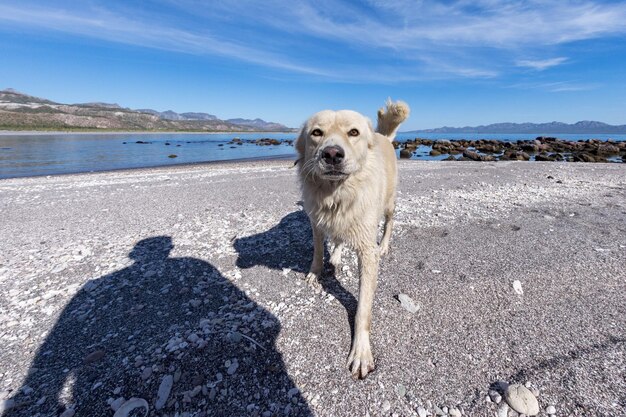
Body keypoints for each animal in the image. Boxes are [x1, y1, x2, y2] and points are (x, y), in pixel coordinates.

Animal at [294, 100, 408, 376]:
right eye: (316, 133)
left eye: (353, 132)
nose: (332, 154)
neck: (338, 194)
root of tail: (383, 137)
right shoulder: (316, 221)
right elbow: (317, 251)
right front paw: (315, 272)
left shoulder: (366, 250)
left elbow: (363, 309)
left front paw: (361, 351)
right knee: (338, 239)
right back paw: (335, 256)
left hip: (389, 204)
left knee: (390, 222)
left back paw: (384, 245)